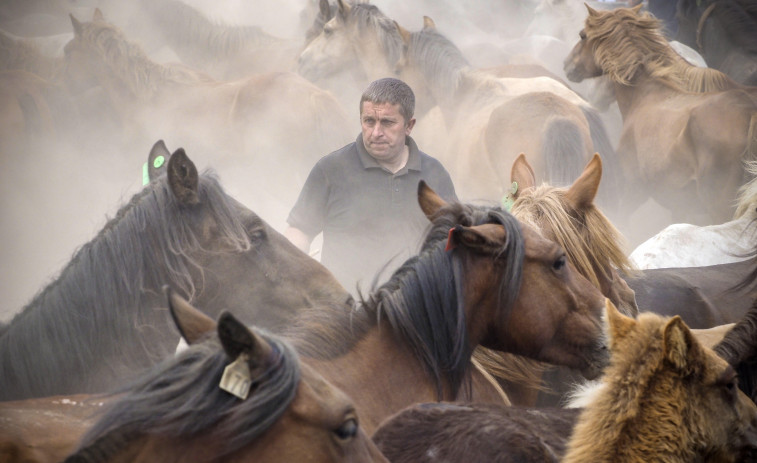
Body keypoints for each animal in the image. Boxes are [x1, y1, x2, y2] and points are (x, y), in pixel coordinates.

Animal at [564, 5, 756, 239]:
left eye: (583, 35)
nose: (567, 65)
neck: (645, 95)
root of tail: (749, 112)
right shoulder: (679, 206)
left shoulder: (634, 189)